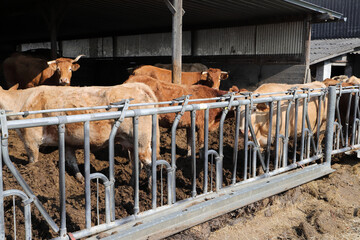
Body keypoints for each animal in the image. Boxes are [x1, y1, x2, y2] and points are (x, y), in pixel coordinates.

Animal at [0, 82, 159, 184]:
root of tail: (138, 85)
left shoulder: (30, 141)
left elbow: (33, 162)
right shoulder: (67, 142)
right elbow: (72, 162)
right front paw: (80, 179)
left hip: (142, 141)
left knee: (148, 161)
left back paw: (150, 185)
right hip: (131, 142)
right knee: (136, 163)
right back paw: (132, 183)